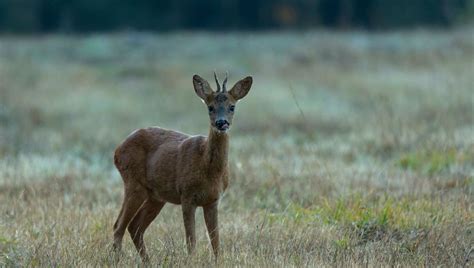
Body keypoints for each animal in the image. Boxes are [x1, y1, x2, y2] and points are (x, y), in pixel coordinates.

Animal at [112, 71, 252, 262]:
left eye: (232, 106)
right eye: (210, 107)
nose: (221, 123)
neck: (208, 169)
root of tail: (117, 151)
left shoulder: (213, 200)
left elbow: (215, 239)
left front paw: (218, 261)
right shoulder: (187, 196)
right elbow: (191, 240)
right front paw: (191, 261)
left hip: (156, 196)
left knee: (134, 227)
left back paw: (148, 261)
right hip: (134, 183)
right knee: (118, 226)